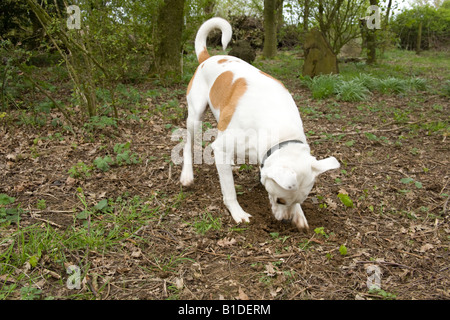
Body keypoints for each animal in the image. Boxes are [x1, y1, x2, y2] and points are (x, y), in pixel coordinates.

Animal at [178, 17, 338, 231]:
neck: (279, 127)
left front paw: (299, 215)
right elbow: (229, 189)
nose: (286, 220)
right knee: (188, 144)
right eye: (279, 200)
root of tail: (206, 58)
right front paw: (237, 212)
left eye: (300, 201)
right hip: (195, 117)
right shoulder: (222, 146)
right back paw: (187, 175)